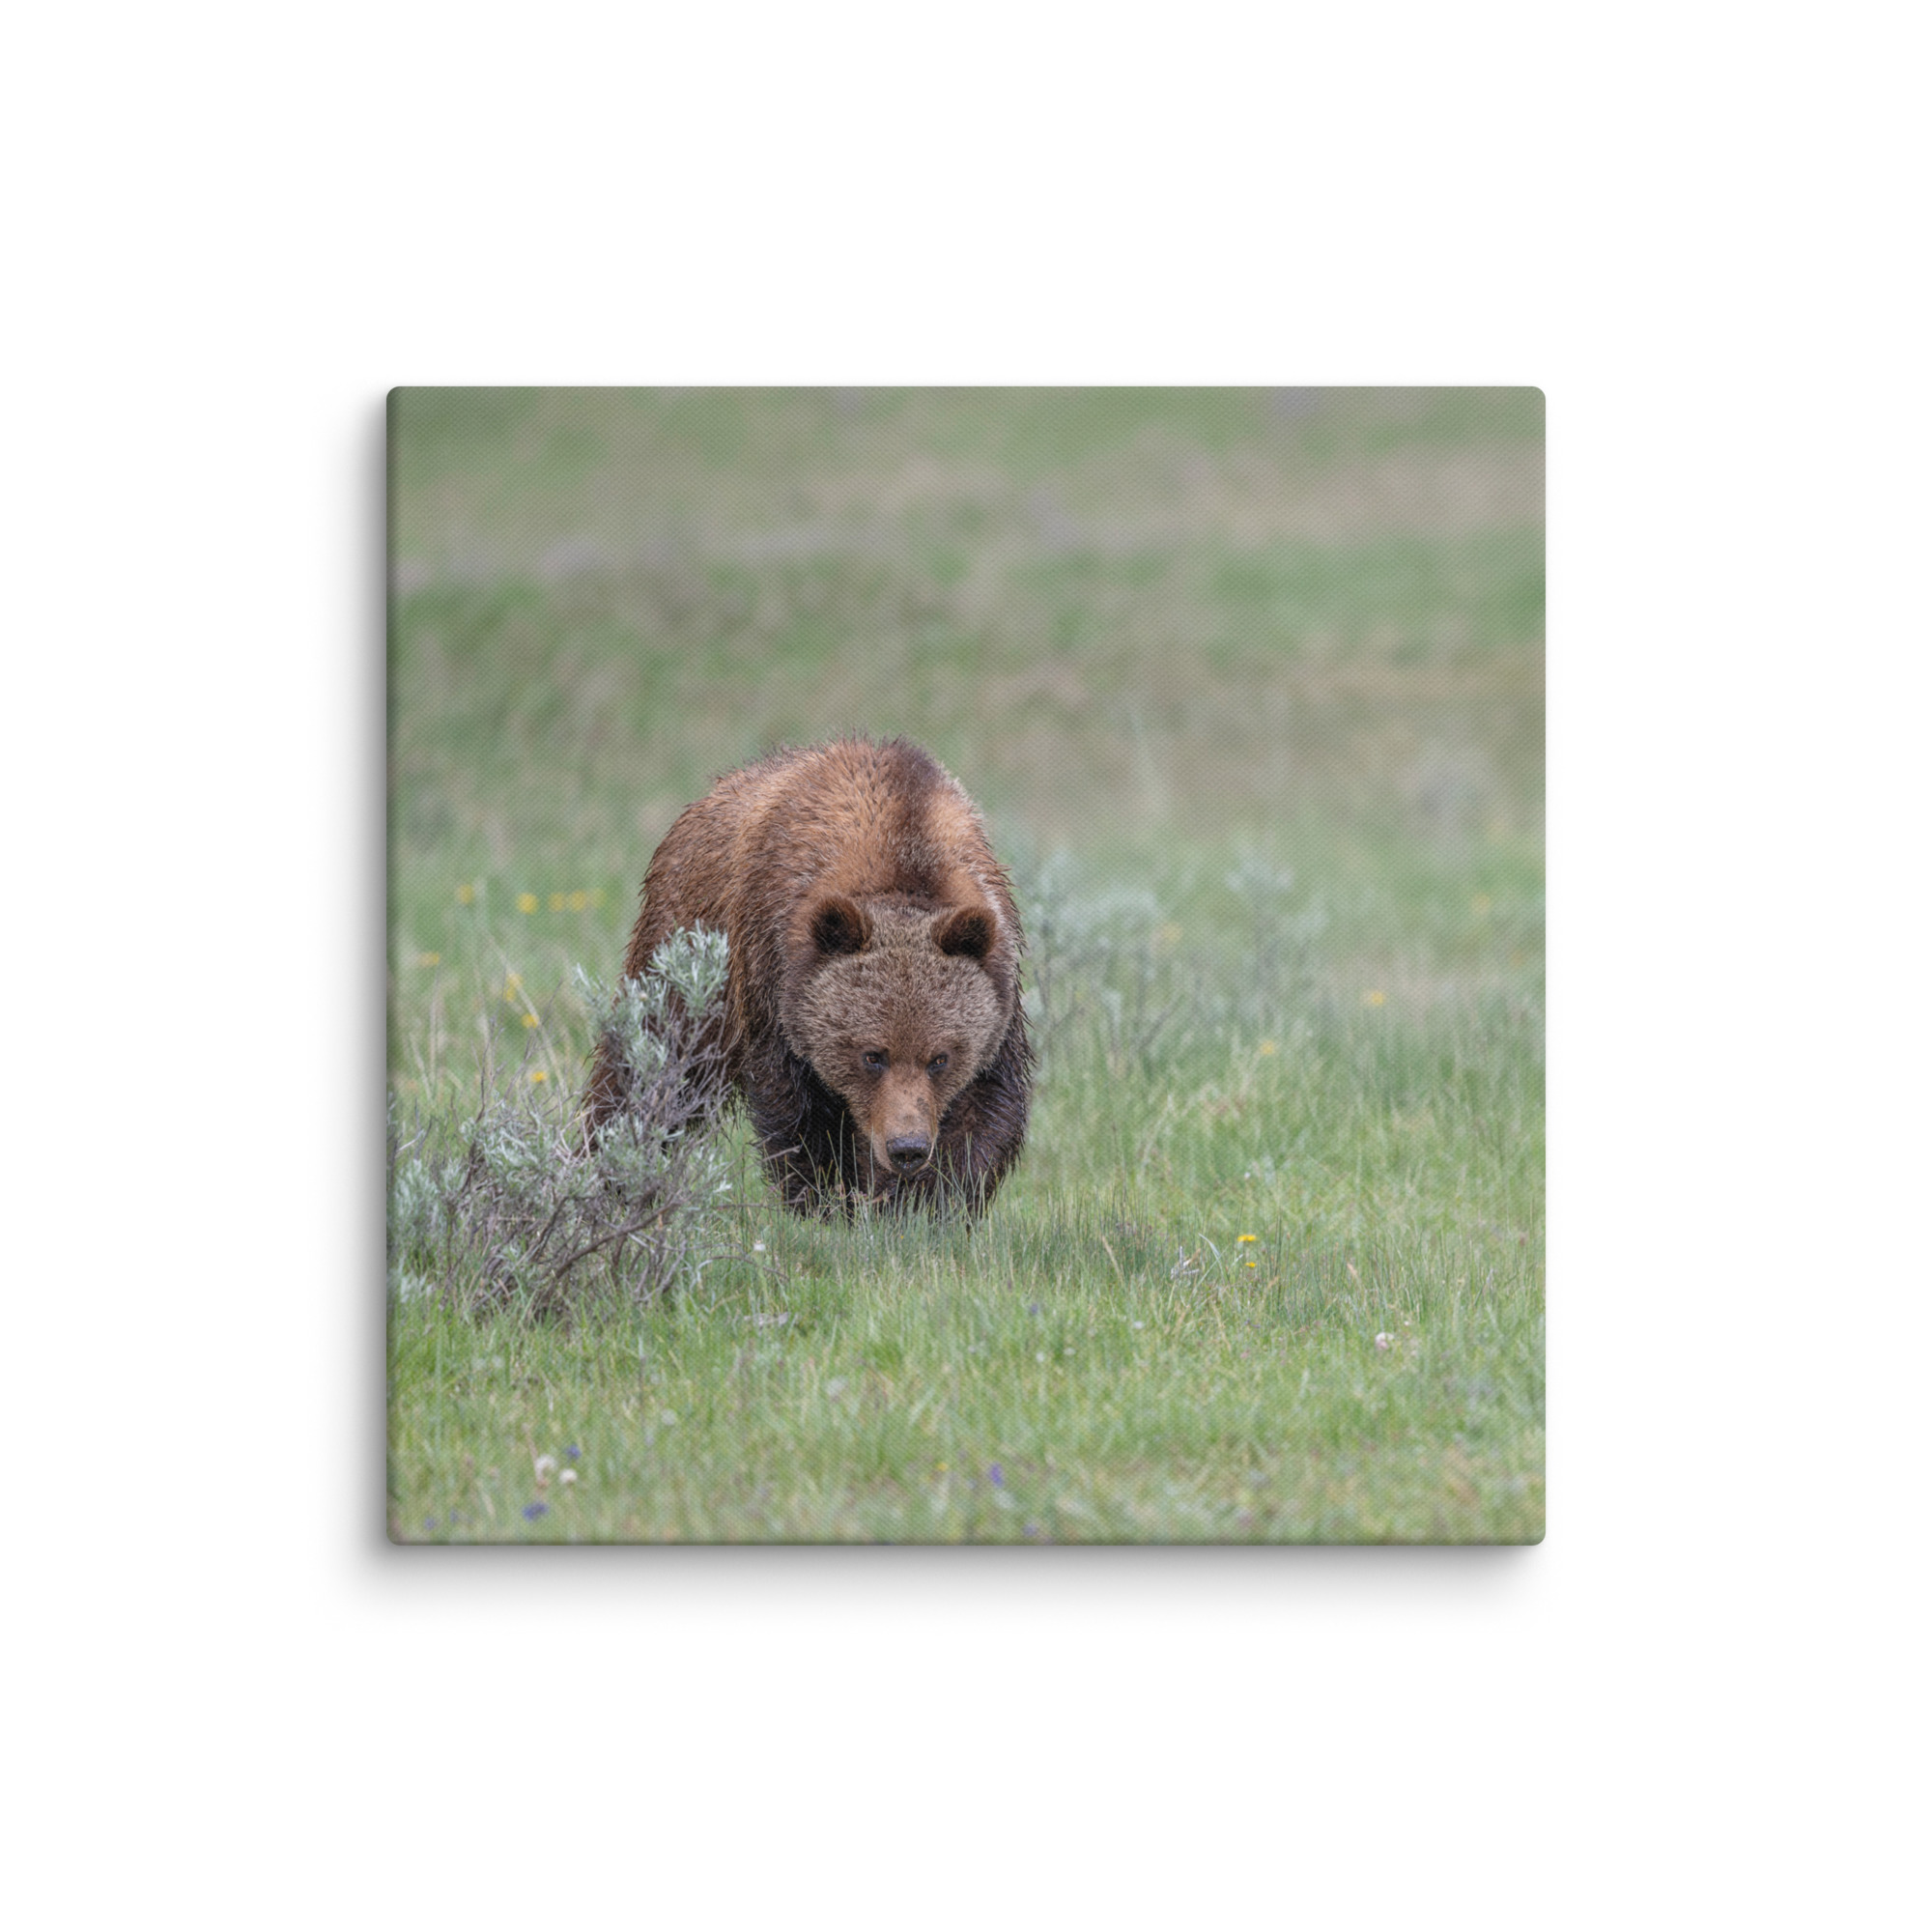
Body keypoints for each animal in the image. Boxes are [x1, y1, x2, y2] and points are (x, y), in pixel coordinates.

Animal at [585, 736, 1032, 1217]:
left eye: (940, 1058)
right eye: (872, 1055)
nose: (906, 1148)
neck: (903, 852)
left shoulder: (998, 990)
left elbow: (984, 1110)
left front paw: (924, 1204)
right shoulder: (773, 977)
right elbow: (799, 1113)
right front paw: (827, 1201)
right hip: (686, 951)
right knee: (651, 1064)